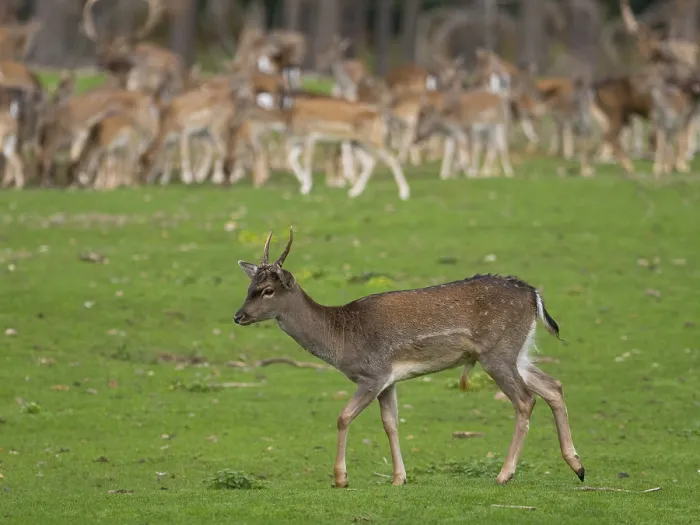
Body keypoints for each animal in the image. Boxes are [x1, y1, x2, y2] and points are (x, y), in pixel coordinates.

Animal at [233, 229, 586, 487]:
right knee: (553, 386)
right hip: (518, 352)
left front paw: (341, 478)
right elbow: (391, 423)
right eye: (249, 286)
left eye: (267, 290)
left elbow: (343, 416)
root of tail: (533, 294)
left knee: (526, 400)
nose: (238, 316)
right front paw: (398, 478)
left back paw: (504, 474)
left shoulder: (372, 373)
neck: (341, 338)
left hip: (498, 352)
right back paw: (577, 466)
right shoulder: (388, 380)